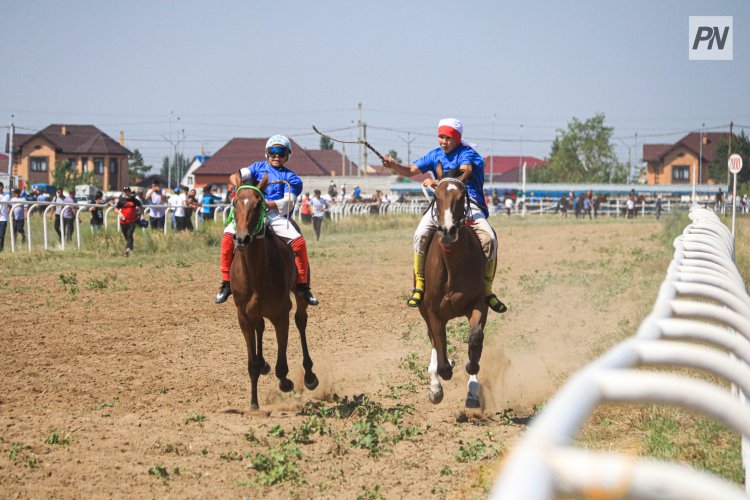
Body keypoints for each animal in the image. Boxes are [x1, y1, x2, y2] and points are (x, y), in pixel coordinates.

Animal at [232, 176, 320, 410]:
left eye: (259, 204)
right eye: (235, 202)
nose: (242, 239)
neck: (256, 271)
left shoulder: (281, 313)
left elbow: (282, 364)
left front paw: (286, 382)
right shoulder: (243, 316)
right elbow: (251, 363)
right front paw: (253, 403)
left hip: (298, 294)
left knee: (301, 320)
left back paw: (309, 375)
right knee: (260, 327)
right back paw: (263, 364)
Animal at [420, 174, 490, 408]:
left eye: (461, 196)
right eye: (436, 196)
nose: (448, 230)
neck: (453, 264)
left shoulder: (479, 303)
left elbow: (476, 340)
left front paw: (471, 372)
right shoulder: (432, 311)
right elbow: (439, 347)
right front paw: (440, 380)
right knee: (434, 341)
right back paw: (435, 385)